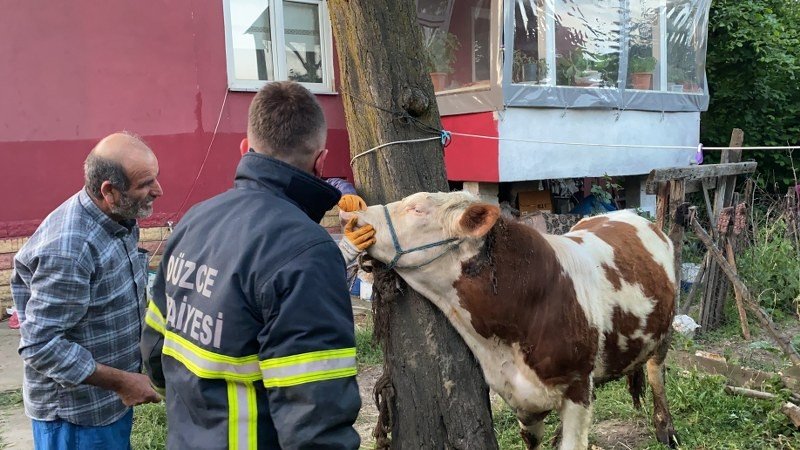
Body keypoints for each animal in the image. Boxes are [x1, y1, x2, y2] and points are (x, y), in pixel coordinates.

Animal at [346, 192, 680, 450]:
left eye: (417, 208)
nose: (355, 214)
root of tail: (628, 214)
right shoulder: (518, 396)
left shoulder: (576, 387)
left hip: (663, 332)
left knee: (656, 373)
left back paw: (666, 429)